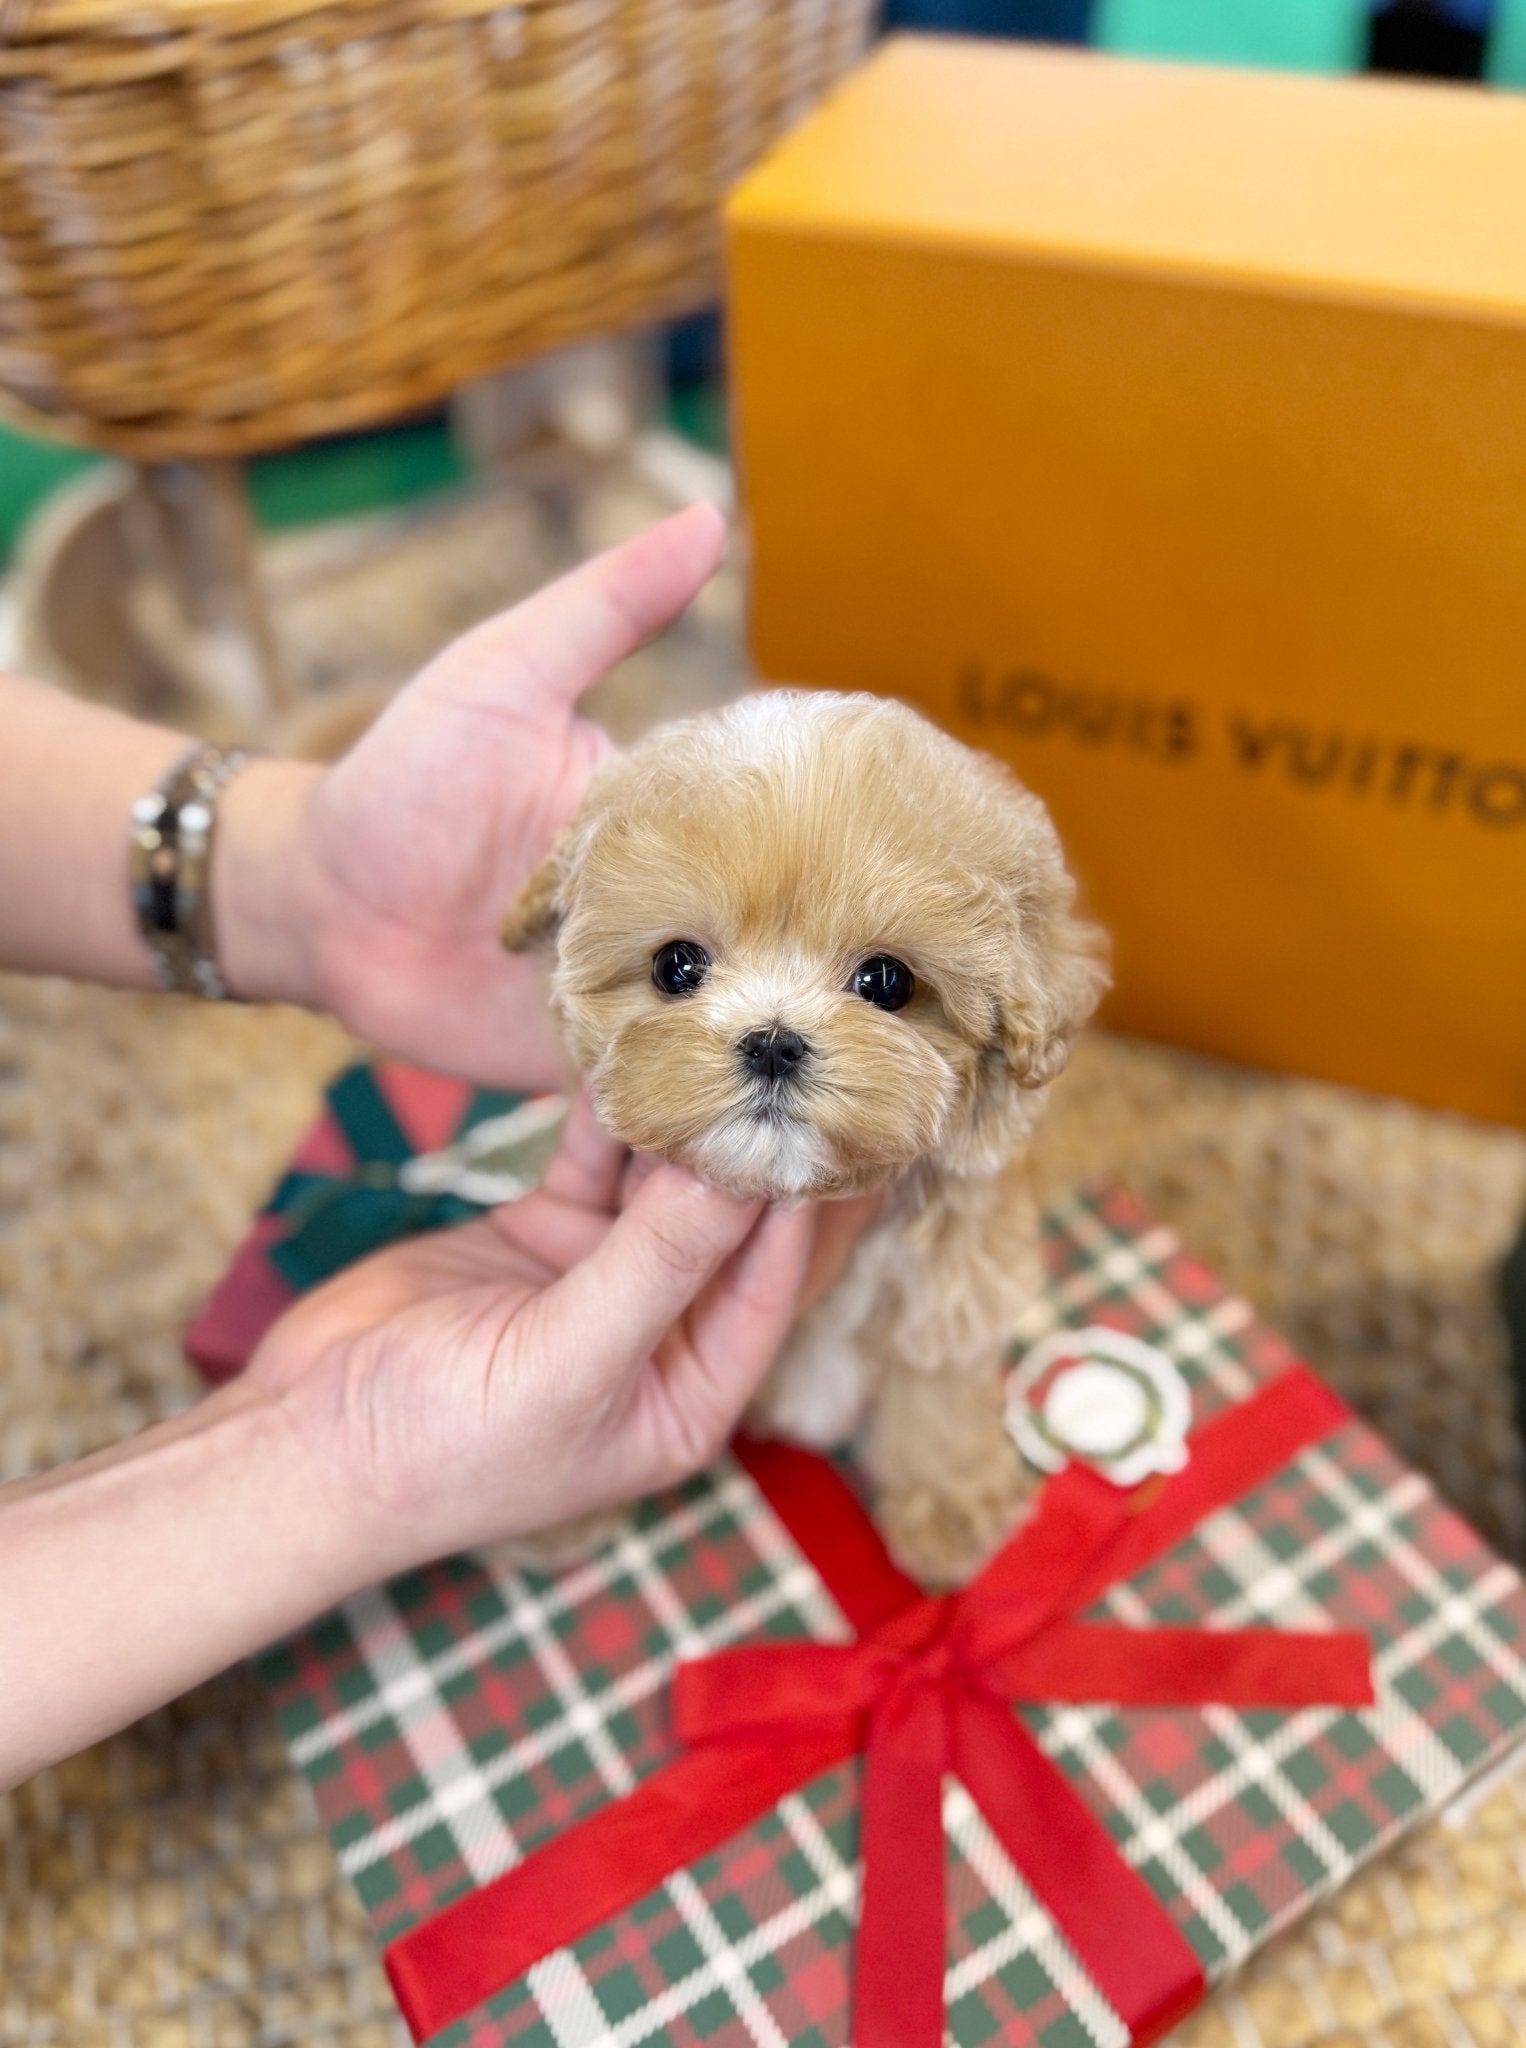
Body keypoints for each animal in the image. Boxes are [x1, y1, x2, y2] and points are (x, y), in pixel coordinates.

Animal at [503, 688, 1106, 1581]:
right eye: (677, 966)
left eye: (886, 981)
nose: (773, 1042)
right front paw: (561, 1501)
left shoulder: (951, 1267)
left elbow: (939, 1377)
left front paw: (950, 1504)